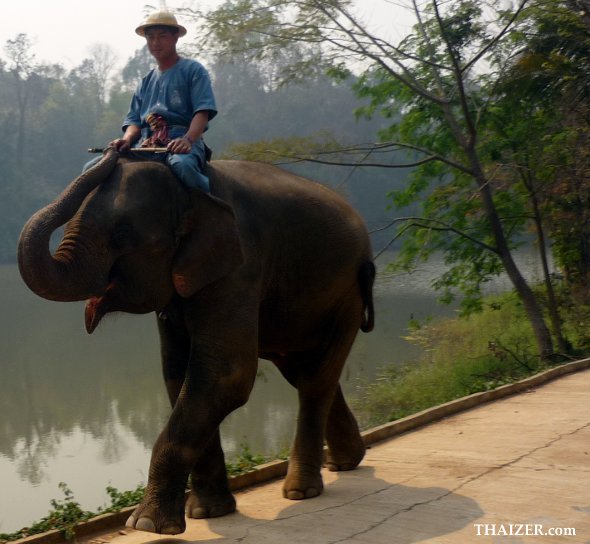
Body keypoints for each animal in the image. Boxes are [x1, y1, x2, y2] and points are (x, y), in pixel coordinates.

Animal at [19, 150, 380, 536]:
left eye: (122, 233)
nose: (114, 150)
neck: (192, 192)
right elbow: (178, 374)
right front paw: (207, 512)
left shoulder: (241, 267)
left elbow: (227, 375)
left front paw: (147, 523)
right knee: (305, 371)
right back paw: (346, 461)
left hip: (348, 294)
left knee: (314, 379)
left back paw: (301, 490)